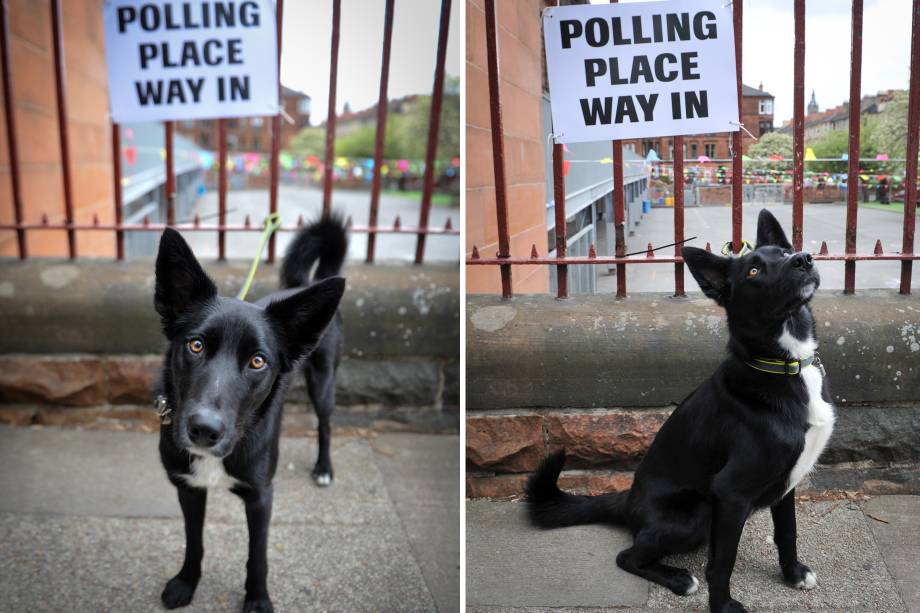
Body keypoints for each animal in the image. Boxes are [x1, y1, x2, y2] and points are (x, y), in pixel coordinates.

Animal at [155, 216, 348, 612]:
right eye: (195, 345)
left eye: (258, 361)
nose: (204, 430)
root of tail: (307, 283)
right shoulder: (189, 489)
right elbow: (193, 541)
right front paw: (186, 582)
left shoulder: (261, 498)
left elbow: (257, 556)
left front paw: (257, 600)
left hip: (323, 383)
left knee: (325, 425)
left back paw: (323, 468)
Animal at [524, 209, 832, 612]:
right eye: (753, 271)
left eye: (784, 251)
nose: (803, 259)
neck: (784, 363)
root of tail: (628, 501)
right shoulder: (730, 493)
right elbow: (723, 562)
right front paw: (724, 606)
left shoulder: (785, 485)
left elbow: (788, 533)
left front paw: (793, 574)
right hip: (696, 513)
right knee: (628, 557)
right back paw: (679, 579)